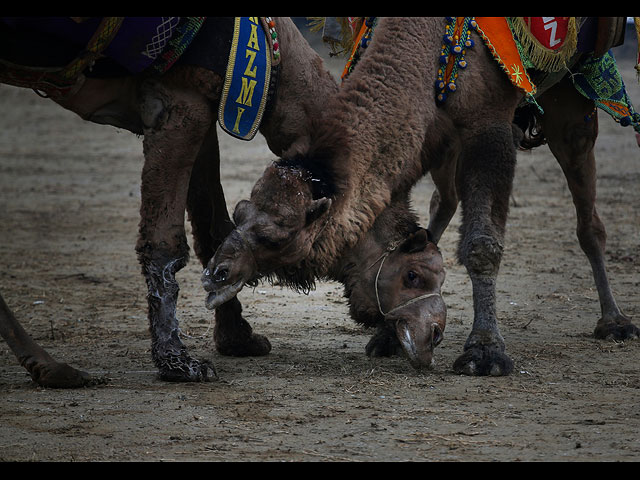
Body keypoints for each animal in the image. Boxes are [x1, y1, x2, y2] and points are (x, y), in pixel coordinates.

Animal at [0, 16, 448, 388]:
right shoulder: (177, 101)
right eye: (413, 275)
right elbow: (163, 243)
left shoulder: (205, 106)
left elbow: (211, 229)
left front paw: (237, 339)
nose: (434, 331)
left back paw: (52, 369)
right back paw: (53, 366)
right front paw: (178, 363)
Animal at [205, 17, 640, 376]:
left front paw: (485, 352)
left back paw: (615, 322)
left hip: (572, 102)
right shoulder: (424, 131)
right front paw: (386, 335)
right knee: (444, 201)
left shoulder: (490, 125)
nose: (215, 274)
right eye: (239, 212)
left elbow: (482, 245)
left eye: (276, 236)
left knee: (588, 217)